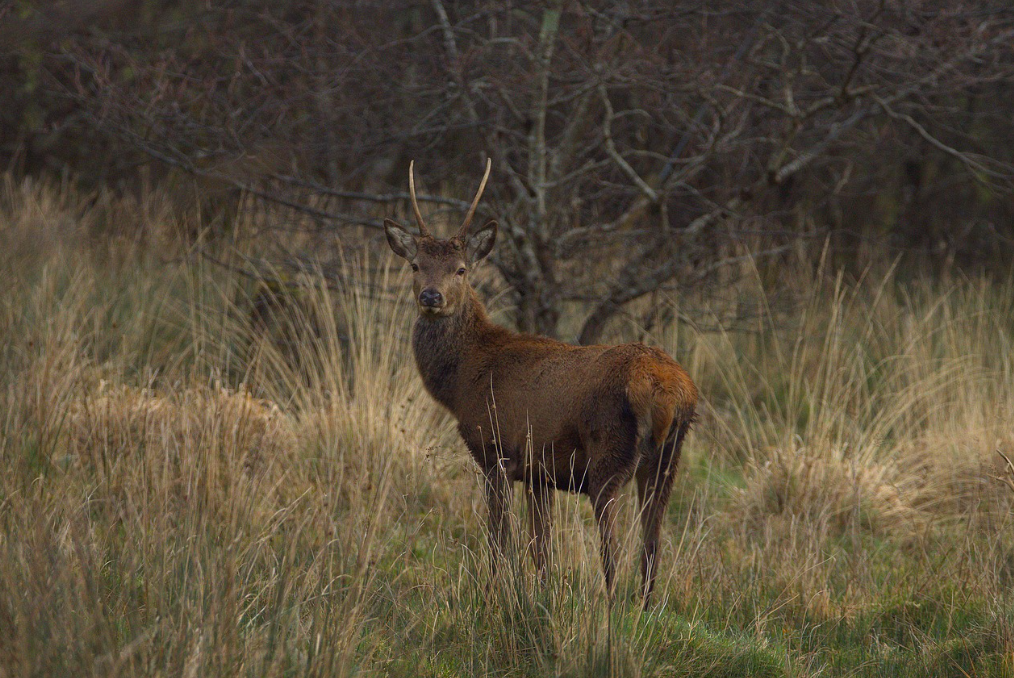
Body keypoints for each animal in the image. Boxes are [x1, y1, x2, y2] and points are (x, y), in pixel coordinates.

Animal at [381, 159, 697, 604]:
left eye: (461, 269)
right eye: (415, 265)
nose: (430, 296)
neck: (463, 380)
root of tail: (671, 391)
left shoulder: (496, 449)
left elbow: (500, 540)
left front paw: (492, 595)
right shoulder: (539, 470)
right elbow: (541, 549)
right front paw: (543, 598)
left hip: (609, 454)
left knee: (614, 548)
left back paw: (611, 608)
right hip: (668, 460)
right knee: (652, 545)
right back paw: (645, 608)